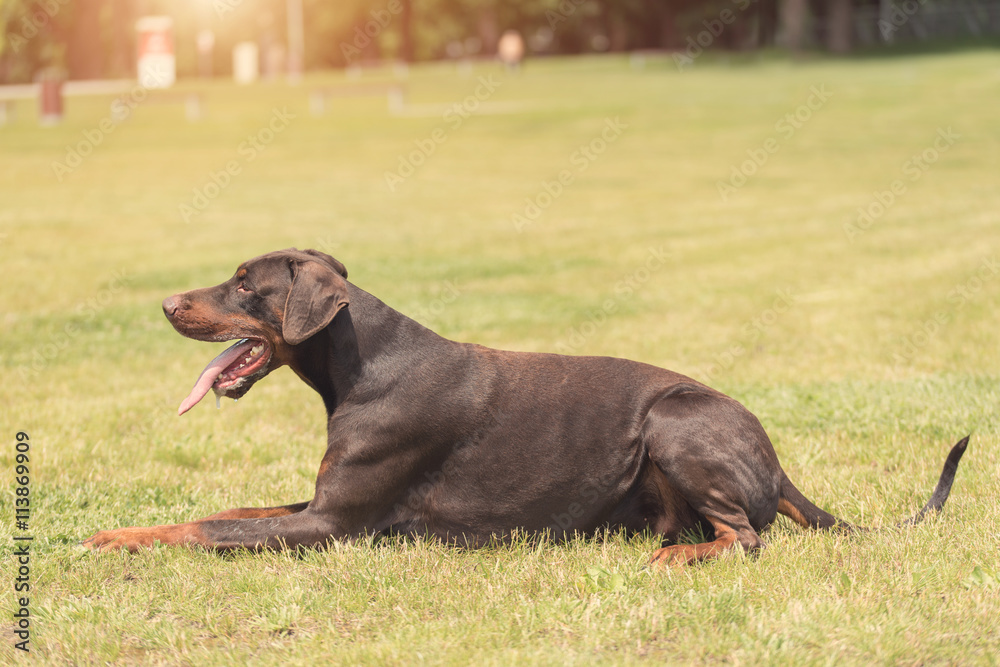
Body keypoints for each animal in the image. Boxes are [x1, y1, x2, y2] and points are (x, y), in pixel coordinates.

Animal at [84, 249, 968, 564]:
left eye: (244, 284)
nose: (166, 303)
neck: (362, 363)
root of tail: (777, 462)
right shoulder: (319, 501)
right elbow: (232, 506)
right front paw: (118, 529)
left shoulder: (334, 524)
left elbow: (210, 528)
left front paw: (117, 540)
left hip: (673, 418)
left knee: (746, 539)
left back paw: (679, 557)